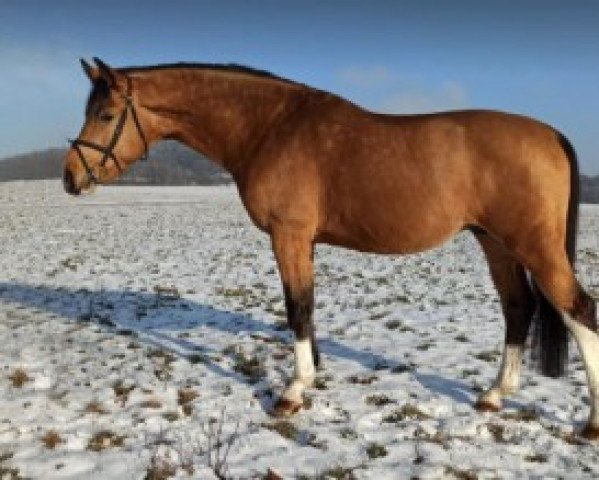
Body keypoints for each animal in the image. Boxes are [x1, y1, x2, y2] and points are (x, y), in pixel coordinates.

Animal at [63, 58, 596, 436]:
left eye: (106, 114)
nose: (71, 178)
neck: (269, 128)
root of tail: (550, 133)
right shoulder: (304, 242)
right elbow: (307, 306)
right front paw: (313, 372)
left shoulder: (289, 234)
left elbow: (296, 307)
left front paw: (293, 391)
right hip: (495, 244)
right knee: (518, 308)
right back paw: (494, 395)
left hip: (533, 247)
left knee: (579, 311)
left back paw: (589, 424)